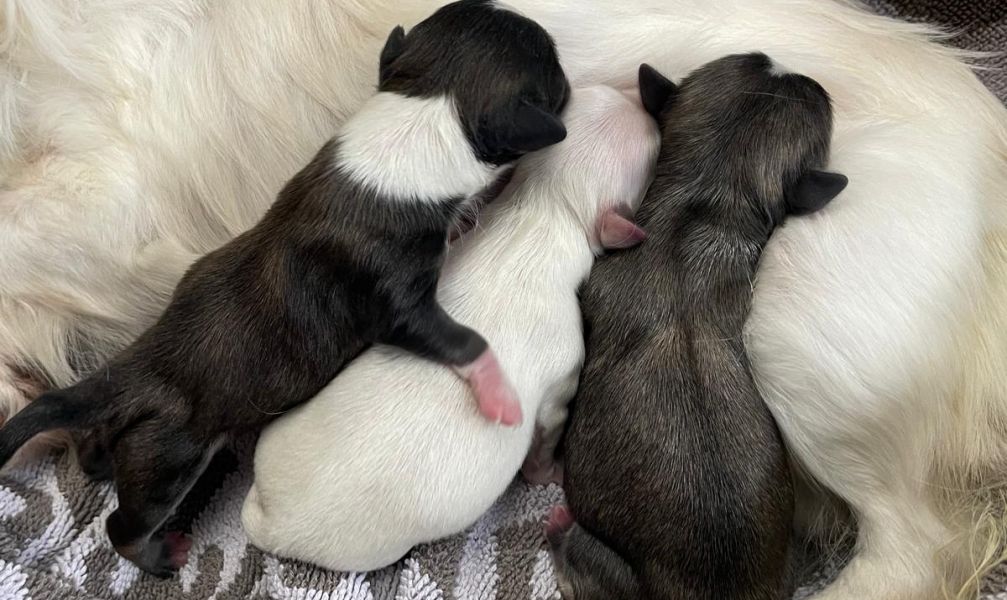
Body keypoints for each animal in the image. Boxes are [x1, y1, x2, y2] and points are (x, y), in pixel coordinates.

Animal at [0, 0, 569, 576]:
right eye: (554, 71)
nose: (561, 54)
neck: (420, 117)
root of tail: (127, 372)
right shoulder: (396, 299)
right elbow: (463, 340)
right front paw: (499, 394)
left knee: (95, 446)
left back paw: (94, 460)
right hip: (168, 457)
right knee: (125, 524)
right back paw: (160, 554)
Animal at [241, 84, 660, 572]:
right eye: (655, 149)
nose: (639, 91)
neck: (540, 212)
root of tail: (271, 522)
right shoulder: (561, 379)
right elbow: (546, 431)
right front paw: (549, 472)